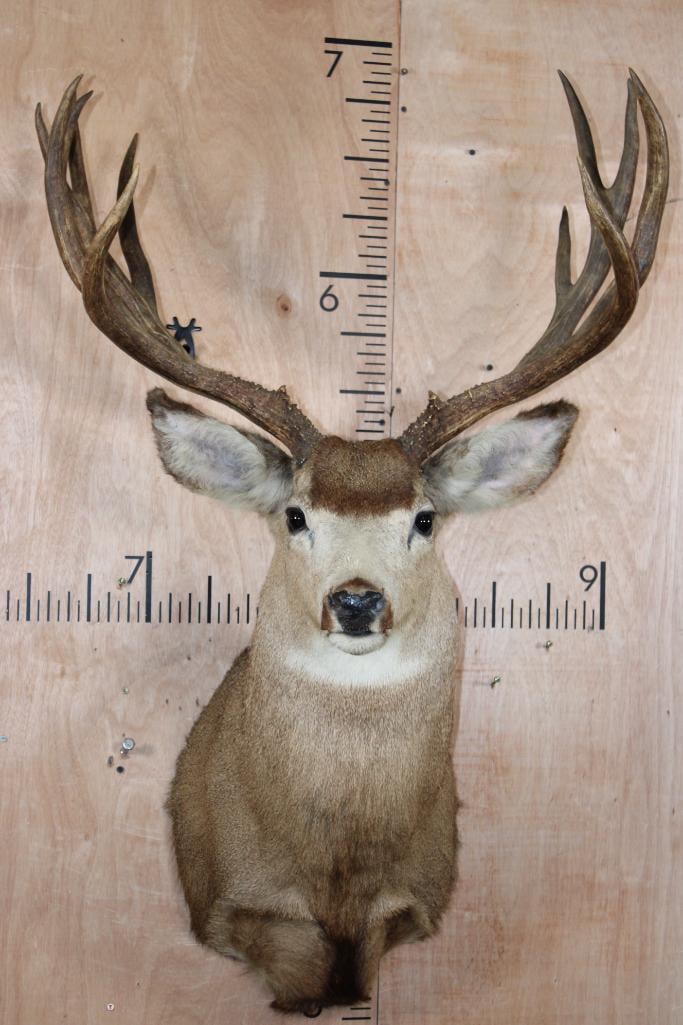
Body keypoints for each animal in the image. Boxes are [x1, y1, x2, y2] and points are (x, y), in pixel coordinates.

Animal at [36, 71, 668, 1015]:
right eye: (295, 514)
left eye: (424, 517)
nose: (358, 599)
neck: (335, 867)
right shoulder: (245, 905)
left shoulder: (408, 902)